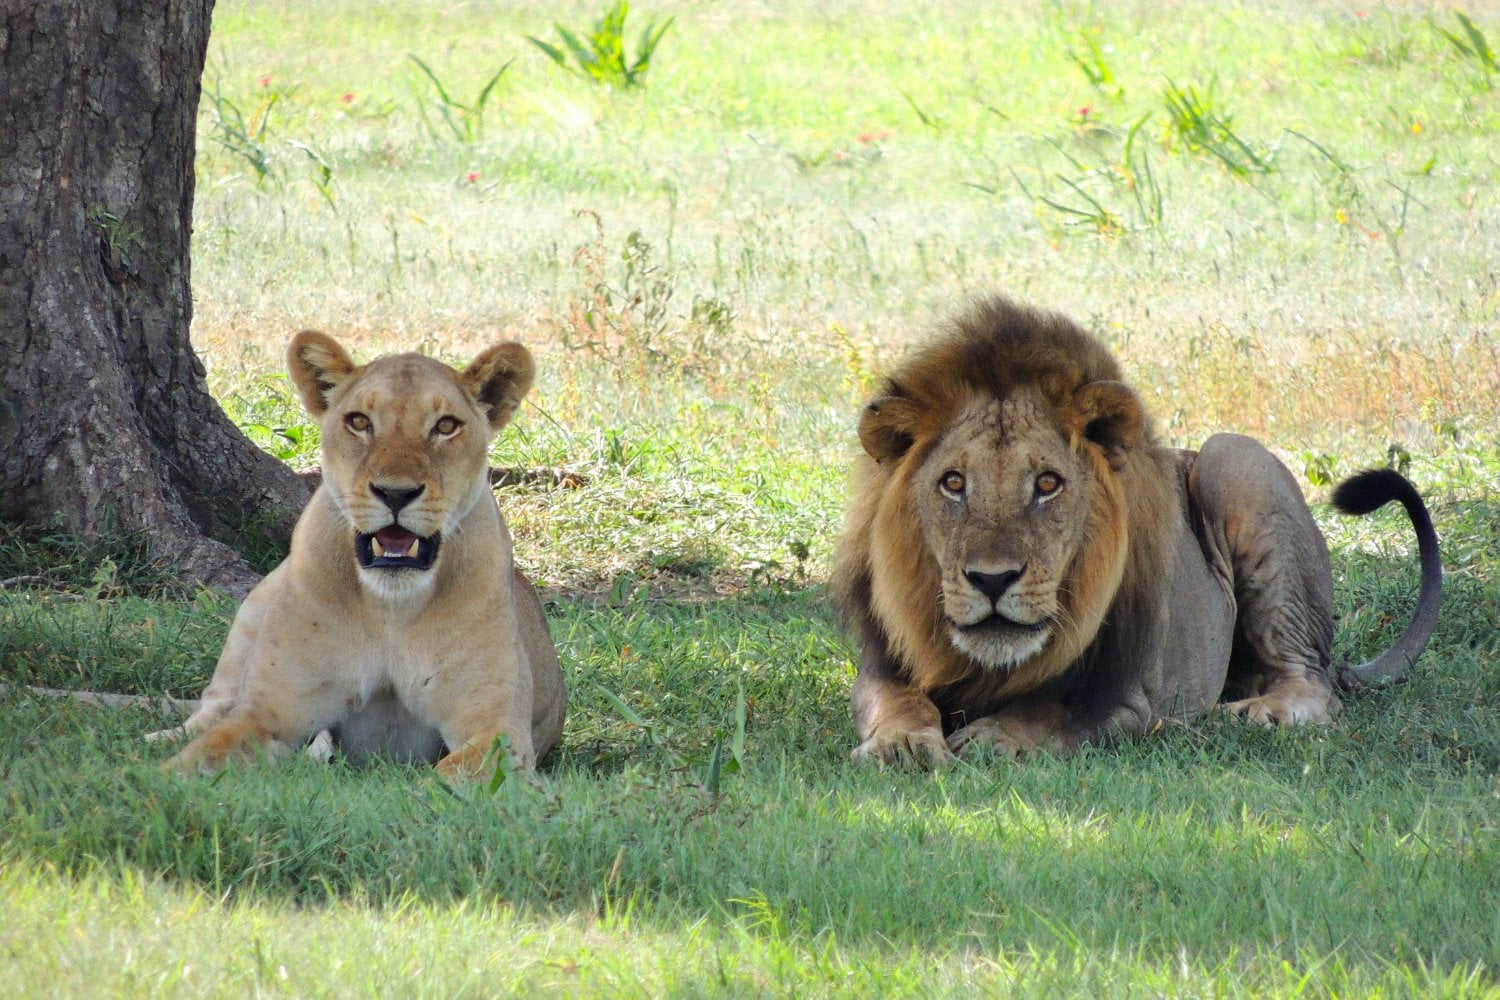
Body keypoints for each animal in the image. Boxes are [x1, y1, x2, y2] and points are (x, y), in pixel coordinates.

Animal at [165, 331, 567, 779]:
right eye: (359, 422)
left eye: (446, 426)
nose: (395, 493)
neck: (391, 608)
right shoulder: (267, 713)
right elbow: (197, 757)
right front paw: (148, 778)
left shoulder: (497, 730)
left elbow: (447, 778)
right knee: (207, 710)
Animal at [832, 296, 1441, 766]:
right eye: (954, 483)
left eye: (1048, 484)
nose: (992, 580)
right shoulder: (882, 665)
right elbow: (895, 701)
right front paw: (902, 743)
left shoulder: (1132, 696)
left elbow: (1051, 712)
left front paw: (994, 737)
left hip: (1233, 459)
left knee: (1312, 683)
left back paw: (1254, 714)